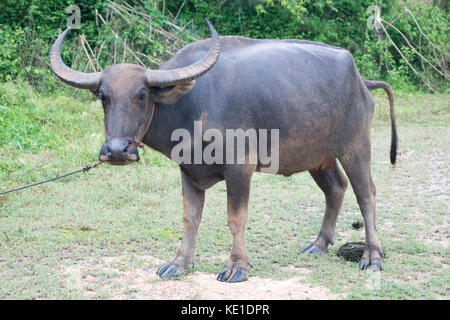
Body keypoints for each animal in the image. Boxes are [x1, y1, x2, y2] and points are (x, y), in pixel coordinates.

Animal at [50, 20, 398, 282]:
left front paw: (237, 268)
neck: (192, 106)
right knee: (336, 188)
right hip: (318, 156)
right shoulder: (188, 171)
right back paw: (319, 244)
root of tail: (361, 80)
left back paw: (372, 256)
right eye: (103, 96)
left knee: (366, 193)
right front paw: (178, 264)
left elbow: (236, 218)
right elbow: (190, 218)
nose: (117, 150)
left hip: (356, 147)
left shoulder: (240, 168)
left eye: (142, 95)